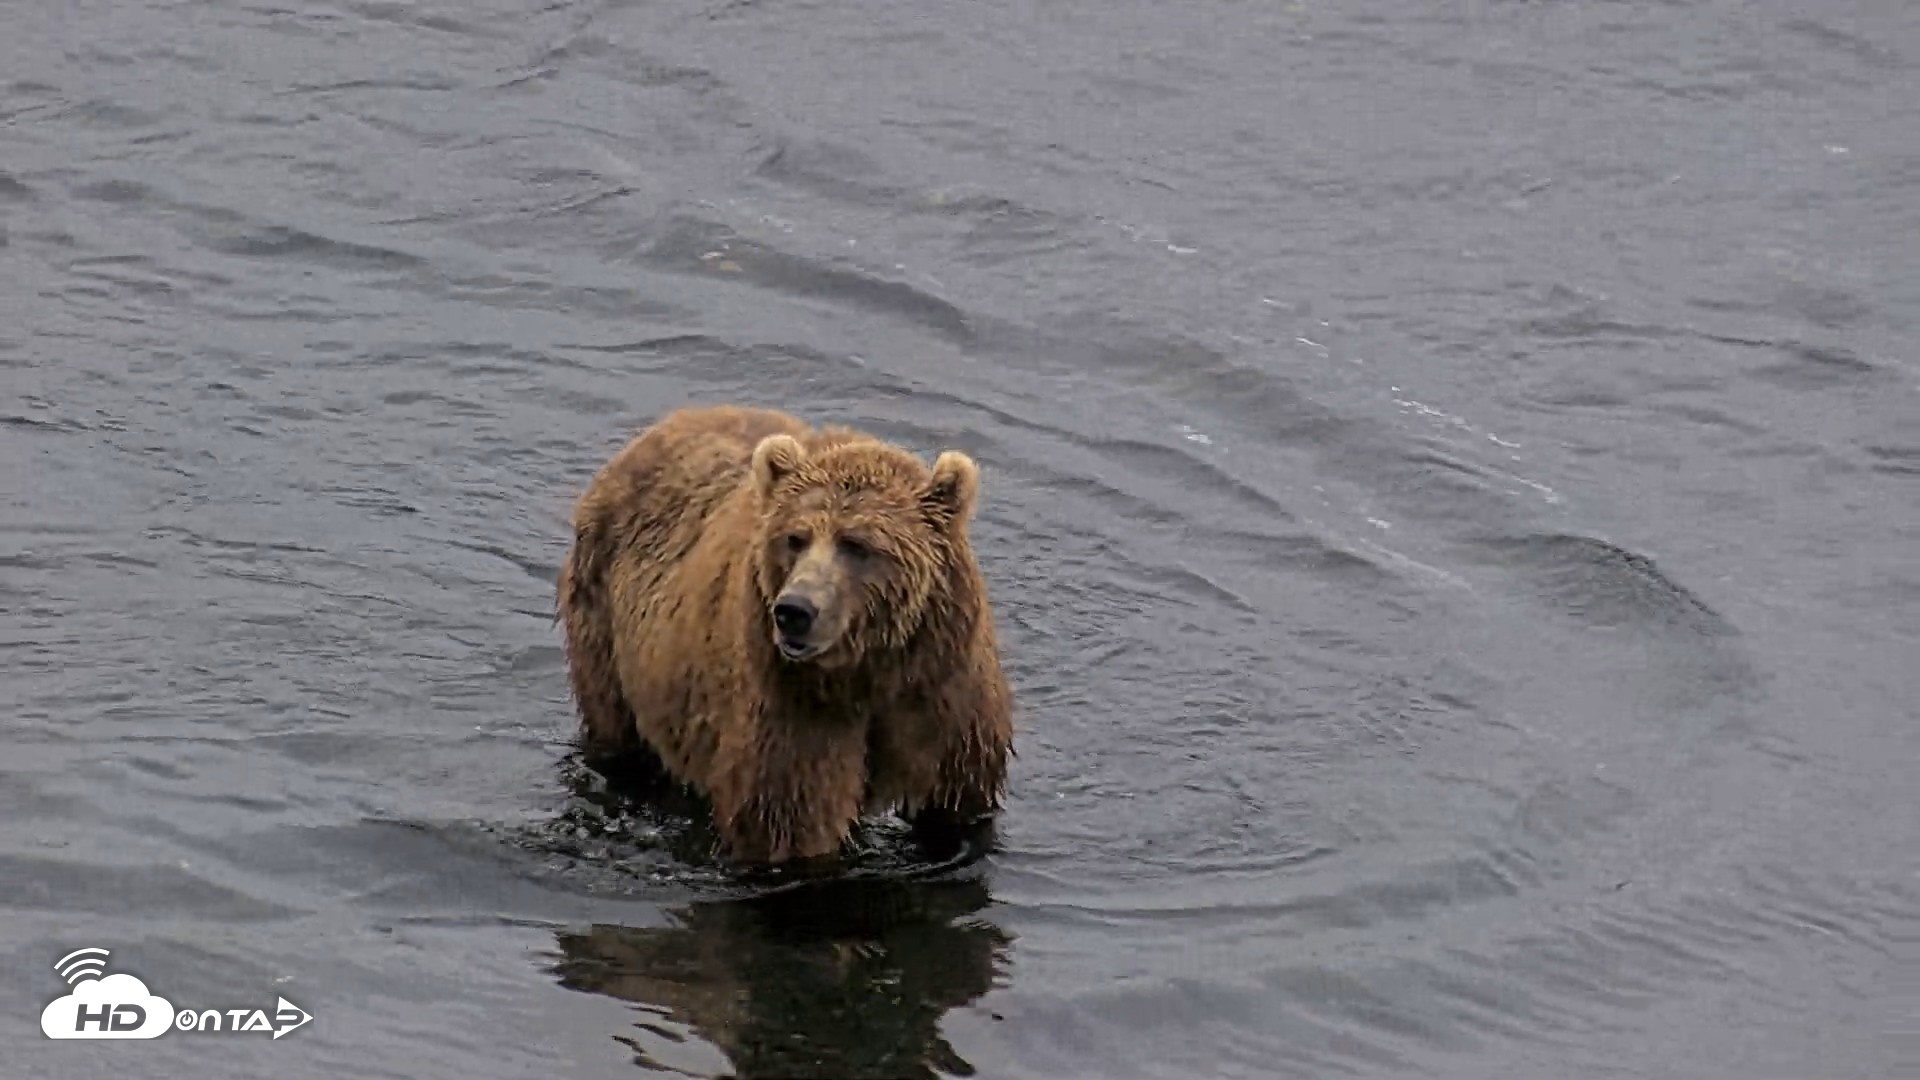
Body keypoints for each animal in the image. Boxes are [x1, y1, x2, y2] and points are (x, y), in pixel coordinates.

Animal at [555, 404, 1014, 865]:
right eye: (795, 538)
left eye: (857, 544)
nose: (794, 611)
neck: (868, 670)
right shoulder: (791, 706)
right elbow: (790, 822)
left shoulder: (943, 698)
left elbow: (953, 808)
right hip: (607, 630)